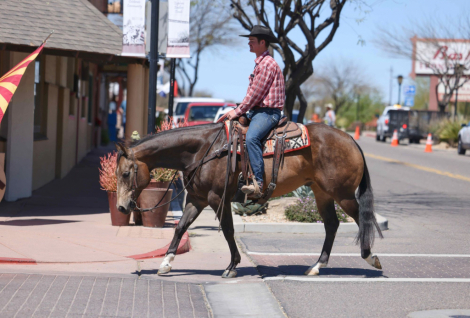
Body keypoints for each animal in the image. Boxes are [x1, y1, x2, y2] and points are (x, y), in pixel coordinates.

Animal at [114, 121, 382, 278]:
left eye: (126, 173)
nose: (122, 207)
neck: (203, 150)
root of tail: (351, 140)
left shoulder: (216, 199)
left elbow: (228, 230)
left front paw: (232, 266)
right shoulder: (197, 199)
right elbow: (180, 227)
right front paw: (166, 263)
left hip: (343, 194)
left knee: (362, 220)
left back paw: (371, 258)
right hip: (322, 193)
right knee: (332, 225)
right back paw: (316, 266)